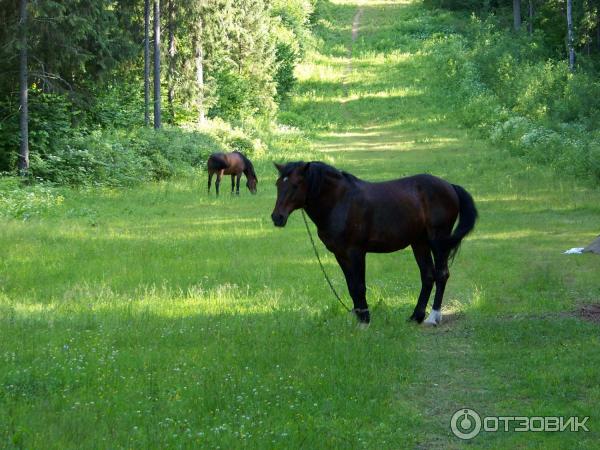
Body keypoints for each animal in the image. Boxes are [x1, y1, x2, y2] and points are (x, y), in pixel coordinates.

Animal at [272, 162, 478, 326]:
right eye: (278, 184)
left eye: (296, 184)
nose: (277, 217)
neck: (340, 201)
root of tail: (450, 186)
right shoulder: (340, 254)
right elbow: (351, 286)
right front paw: (358, 317)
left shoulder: (356, 252)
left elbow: (359, 286)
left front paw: (365, 320)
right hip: (419, 243)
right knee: (428, 276)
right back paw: (416, 316)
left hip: (438, 241)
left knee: (442, 275)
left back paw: (433, 317)